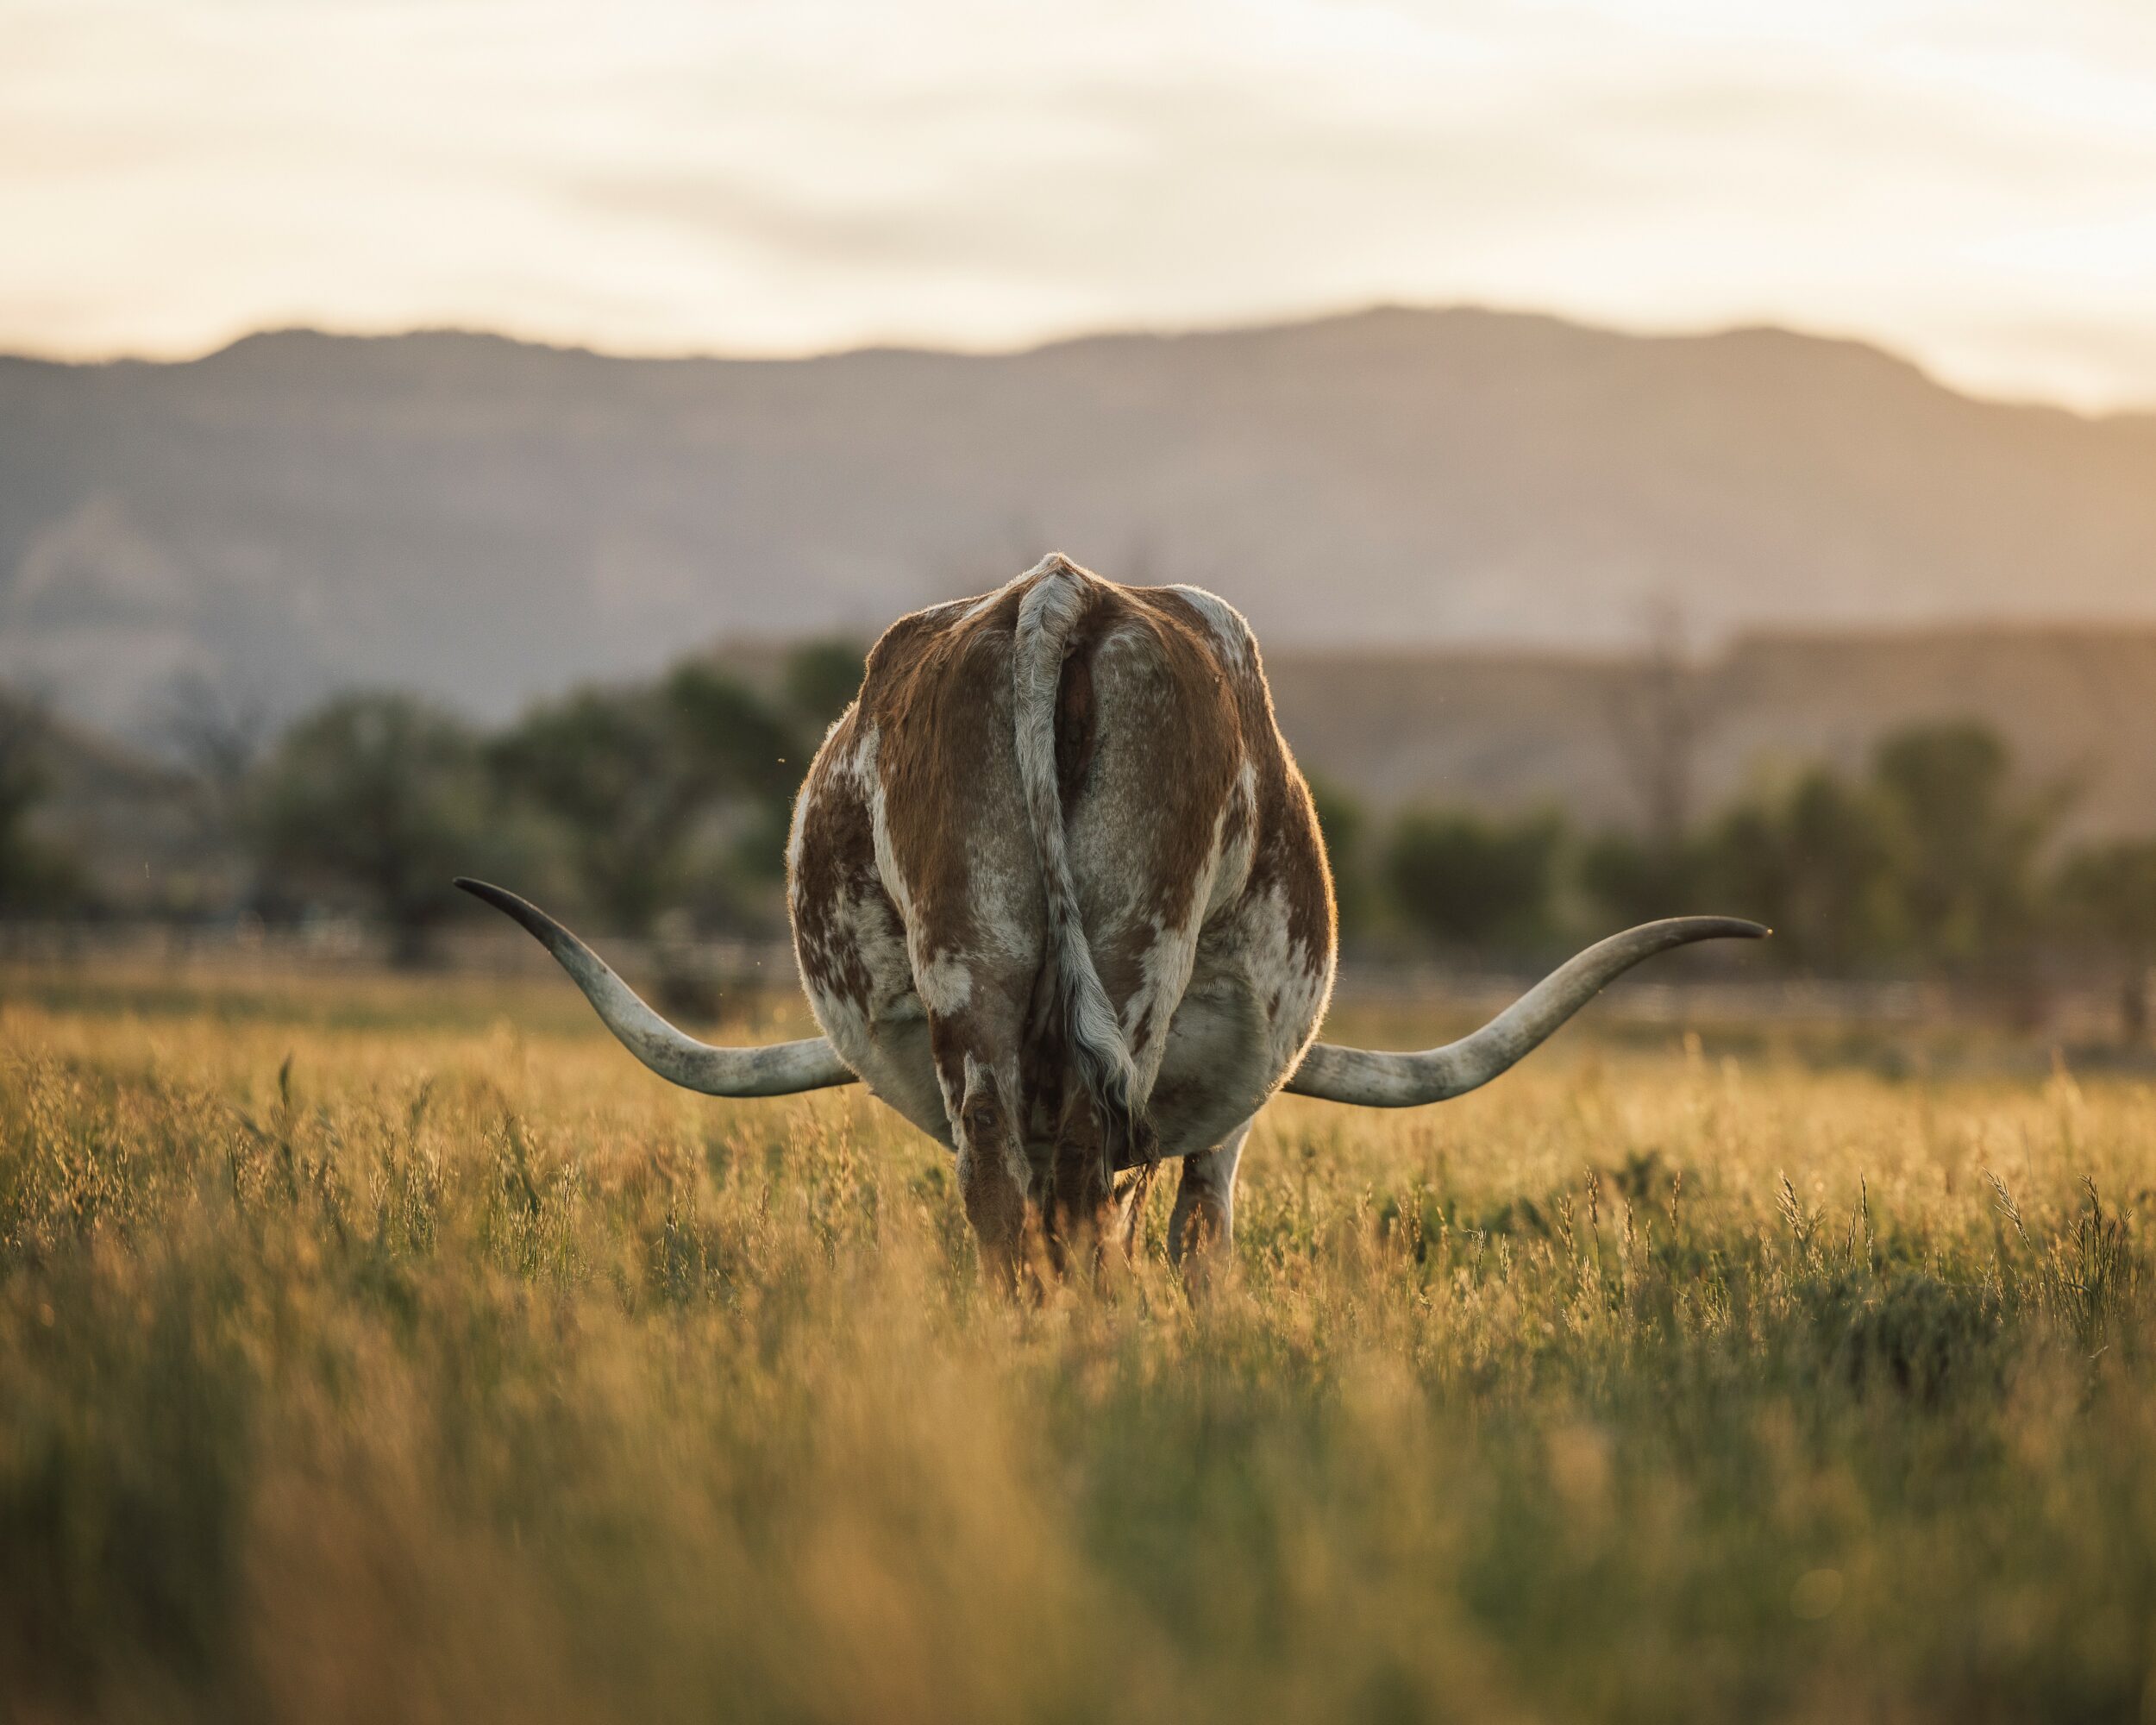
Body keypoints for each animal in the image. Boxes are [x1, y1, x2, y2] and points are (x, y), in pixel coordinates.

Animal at [459, 555, 1764, 1280]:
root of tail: (1061, 596)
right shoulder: (1225, 1109)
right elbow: (1199, 1230)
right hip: (1139, 962)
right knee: (1089, 1180)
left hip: (969, 968)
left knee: (1004, 1188)